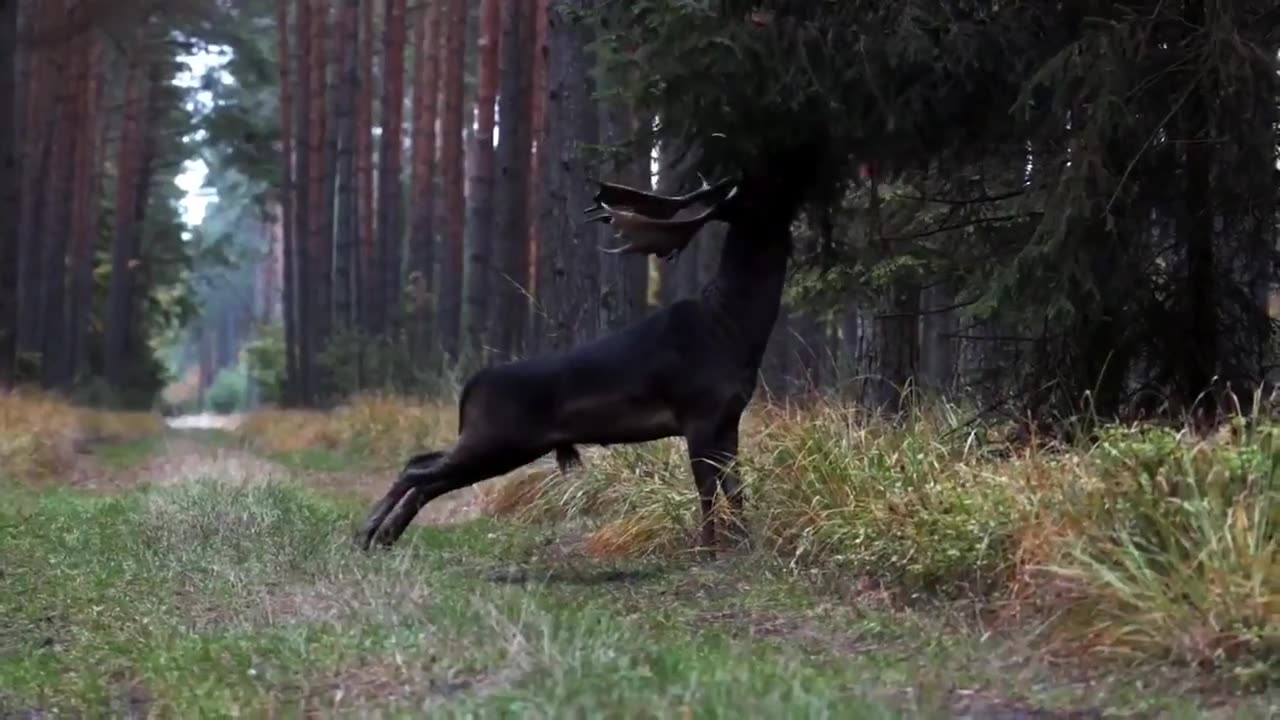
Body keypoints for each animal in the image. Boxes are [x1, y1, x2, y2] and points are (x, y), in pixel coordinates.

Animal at [355, 148, 808, 550]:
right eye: (763, 187)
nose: (794, 164)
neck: (731, 328)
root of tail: (470, 387)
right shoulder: (697, 412)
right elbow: (709, 494)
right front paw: (710, 551)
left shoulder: (728, 417)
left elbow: (736, 491)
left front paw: (744, 546)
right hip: (496, 438)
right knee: (418, 471)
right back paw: (366, 532)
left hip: (499, 443)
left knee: (424, 468)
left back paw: (384, 536)